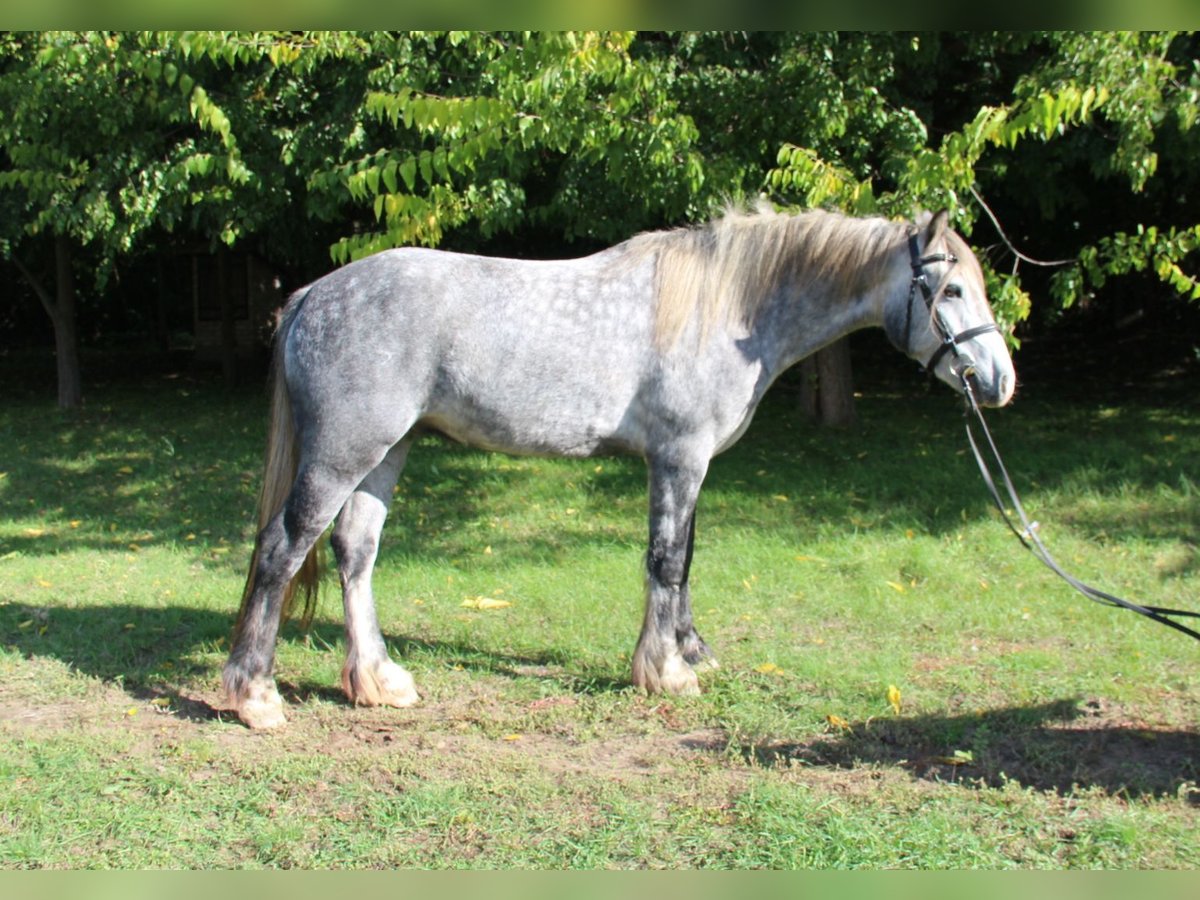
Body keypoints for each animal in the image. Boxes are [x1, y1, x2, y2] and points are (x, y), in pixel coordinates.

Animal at [223, 206, 1012, 734]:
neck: (730, 309)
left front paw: (691, 652)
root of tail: (310, 298)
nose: (1000, 381)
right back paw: (255, 696)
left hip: (388, 452)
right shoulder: (679, 458)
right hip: (343, 454)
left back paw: (378, 682)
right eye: (951, 292)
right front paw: (665, 672)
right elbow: (665, 560)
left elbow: (685, 559)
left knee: (355, 551)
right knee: (281, 549)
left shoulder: (690, 465)